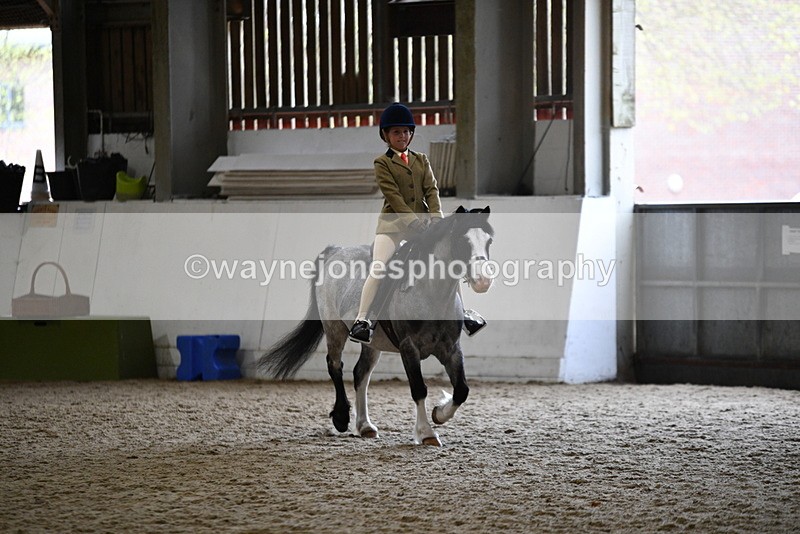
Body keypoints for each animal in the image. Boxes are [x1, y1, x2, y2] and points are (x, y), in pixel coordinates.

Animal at [258, 206, 494, 446]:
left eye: (489, 241)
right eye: (463, 240)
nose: (484, 281)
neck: (431, 293)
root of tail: (335, 251)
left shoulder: (451, 349)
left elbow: (462, 390)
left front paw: (439, 413)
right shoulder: (409, 348)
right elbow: (419, 389)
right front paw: (426, 432)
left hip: (372, 343)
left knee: (360, 373)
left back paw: (365, 426)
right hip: (334, 328)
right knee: (335, 365)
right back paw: (342, 418)